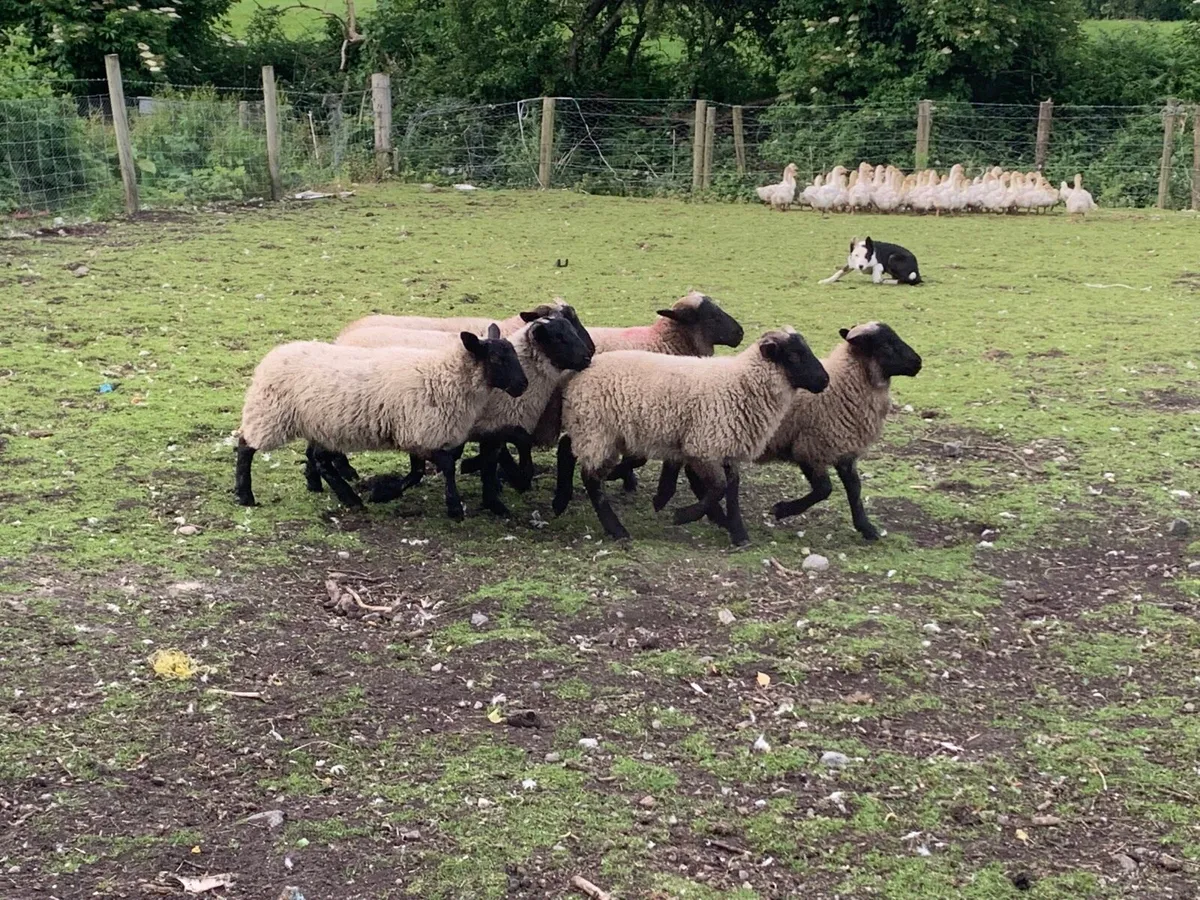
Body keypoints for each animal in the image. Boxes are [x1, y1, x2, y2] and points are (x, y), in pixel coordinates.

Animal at [234, 324, 528, 520]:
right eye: (497, 358)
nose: (523, 385)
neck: (444, 376)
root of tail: (273, 356)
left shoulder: (416, 433)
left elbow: (420, 471)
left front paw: (384, 493)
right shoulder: (421, 430)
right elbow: (442, 467)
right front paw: (454, 507)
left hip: (322, 426)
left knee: (319, 459)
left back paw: (345, 496)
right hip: (270, 414)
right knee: (245, 446)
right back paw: (245, 495)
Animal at [554, 328, 829, 545]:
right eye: (793, 355)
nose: (825, 380)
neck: (741, 383)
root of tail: (578, 373)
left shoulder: (727, 447)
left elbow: (731, 490)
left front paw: (737, 532)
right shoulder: (703, 445)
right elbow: (718, 487)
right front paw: (684, 515)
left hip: (591, 428)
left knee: (567, 448)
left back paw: (561, 500)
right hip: (596, 429)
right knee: (590, 478)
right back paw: (616, 529)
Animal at [657, 323, 921, 542]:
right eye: (886, 345)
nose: (918, 362)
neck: (845, 384)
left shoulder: (843, 448)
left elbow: (854, 489)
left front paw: (866, 528)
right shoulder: (810, 447)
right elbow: (824, 489)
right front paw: (782, 510)